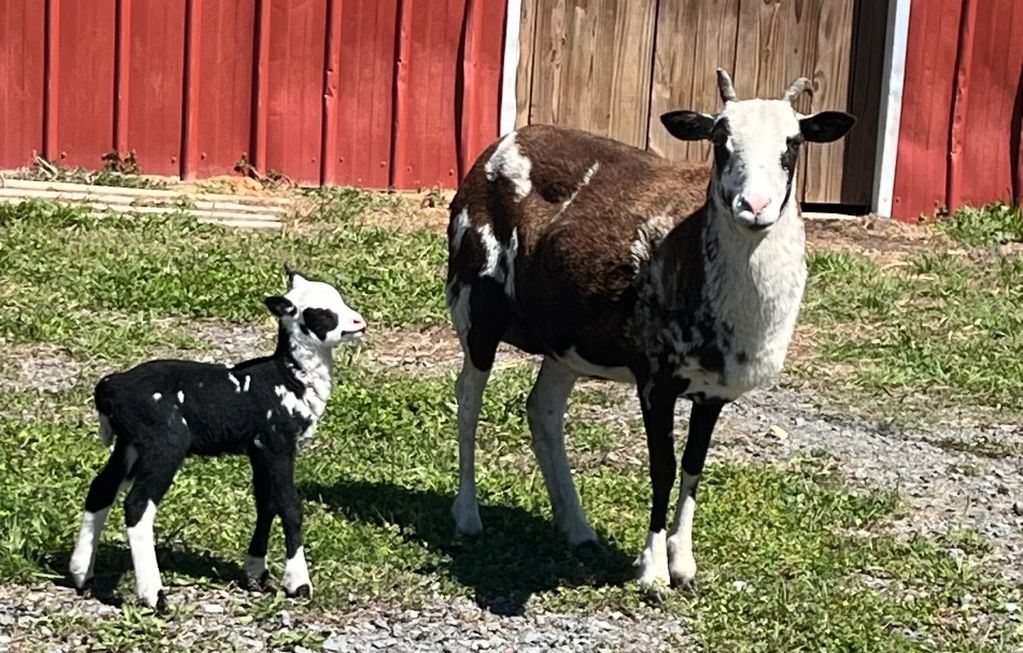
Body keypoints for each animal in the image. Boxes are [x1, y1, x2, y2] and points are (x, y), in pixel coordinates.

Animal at [68, 267, 366, 609]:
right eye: (322, 313)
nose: (359, 322)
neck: (289, 378)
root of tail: (110, 388)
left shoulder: (258, 449)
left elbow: (266, 502)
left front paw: (256, 574)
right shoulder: (278, 443)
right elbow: (290, 506)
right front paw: (298, 583)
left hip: (129, 444)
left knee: (101, 489)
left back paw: (81, 575)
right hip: (164, 442)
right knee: (138, 505)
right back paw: (154, 596)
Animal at [445, 69, 855, 592]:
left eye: (794, 143)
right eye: (719, 141)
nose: (755, 206)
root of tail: (502, 144)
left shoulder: (713, 390)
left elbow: (694, 465)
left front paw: (684, 563)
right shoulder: (656, 378)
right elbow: (663, 467)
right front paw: (654, 571)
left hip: (566, 339)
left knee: (543, 410)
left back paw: (576, 527)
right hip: (476, 299)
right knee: (469, 397)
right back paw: (468, 516)